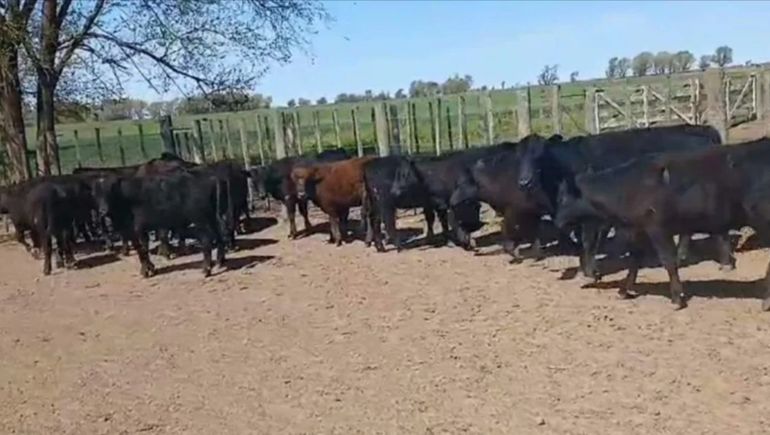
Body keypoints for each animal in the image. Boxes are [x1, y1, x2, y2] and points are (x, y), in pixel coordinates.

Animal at [552, 139, 770, 310]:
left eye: (563, 198)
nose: (557, 221)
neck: (628, 187)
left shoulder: (658, 228)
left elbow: (668, 261)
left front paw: (676, 299)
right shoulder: (640, 229)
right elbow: (634, 259)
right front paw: (624, 290)